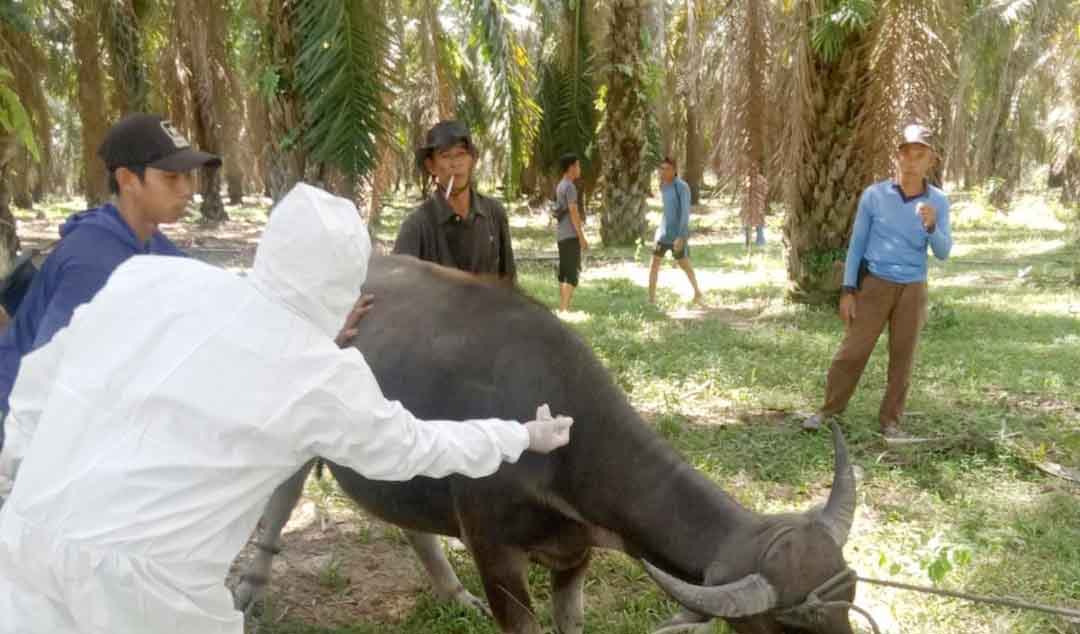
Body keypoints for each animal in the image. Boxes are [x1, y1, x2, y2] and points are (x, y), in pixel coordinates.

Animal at [236, 255, 859, 630]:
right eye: (790, 624)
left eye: (849, 601)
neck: (563, 458)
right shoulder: (495, 554)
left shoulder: (574, 554)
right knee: (281, 499)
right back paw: (249, 588)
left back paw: (450, 593)